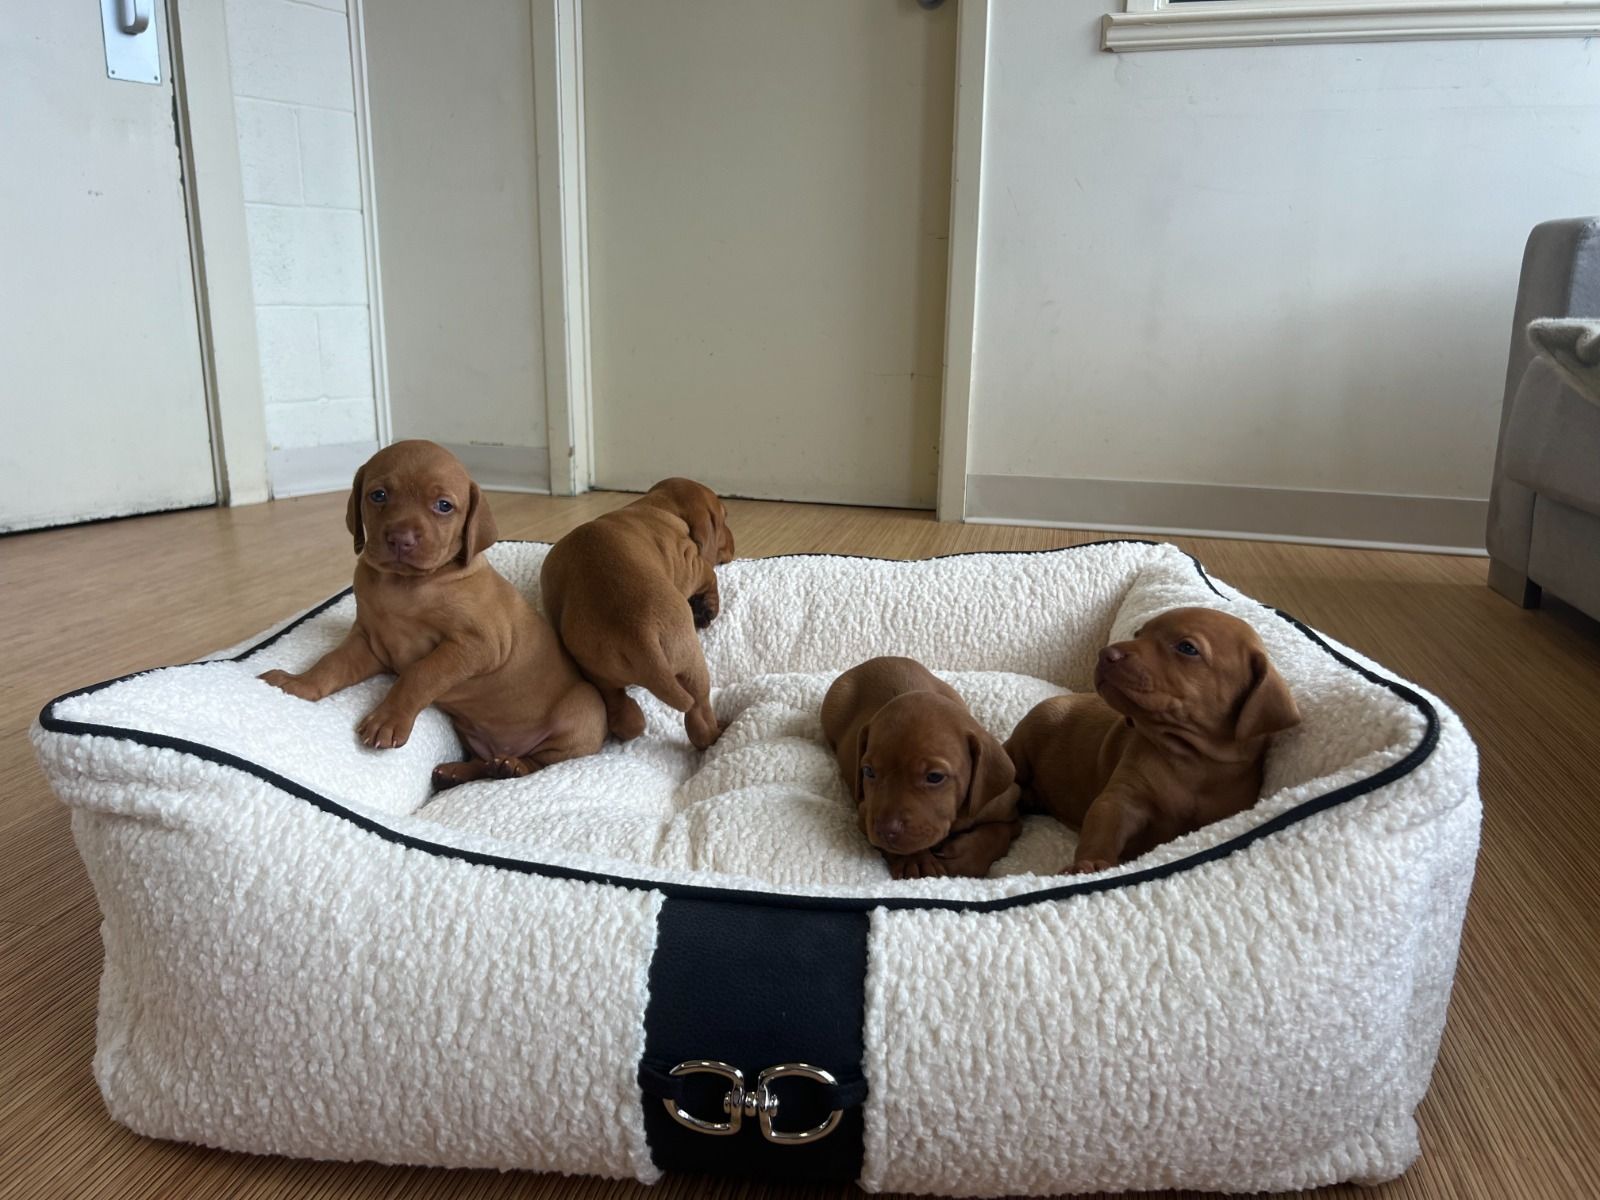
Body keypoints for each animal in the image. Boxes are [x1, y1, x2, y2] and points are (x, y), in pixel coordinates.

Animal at [259, 441, 608, 790]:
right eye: (378, 495)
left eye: (443, 506)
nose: (401, 539)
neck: (403, 584)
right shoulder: (370, 641)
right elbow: (331, 664)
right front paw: (298, 684)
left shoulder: (478, 644)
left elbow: (420, 673)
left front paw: (387, 719)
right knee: (483, 763)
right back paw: (458, 771)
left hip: (585, 712)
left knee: (543, 762)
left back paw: (513, 766)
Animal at [540, 480, 732, 752]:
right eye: (725, 518)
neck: (659, 506)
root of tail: (639, 633)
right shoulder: (691, 561)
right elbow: (710, 575)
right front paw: (706, 607)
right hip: (692, 664)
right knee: (699, 716)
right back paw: (718, 731)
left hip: (597, 671)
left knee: (622, 713)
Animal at [825, 659, 1024, 883]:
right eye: (868, 771)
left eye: (935, 777)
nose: (885, 830)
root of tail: (874, 660)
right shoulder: (865, 812)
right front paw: (915, 860)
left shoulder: (1010, 812)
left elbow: (998, 833)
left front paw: (967, 856)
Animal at [1004, 611, 1305, 876]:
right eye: (1139, 634)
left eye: (1187, 648)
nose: (1106, 654)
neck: (1192, 760)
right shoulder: (1124, 797)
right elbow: (1104, 822)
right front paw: (1089, 863)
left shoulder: (1223, 815)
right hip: (1026, 740)